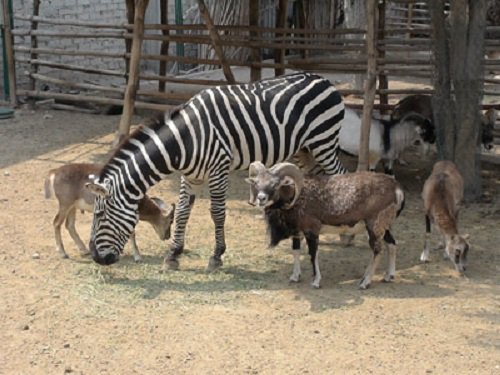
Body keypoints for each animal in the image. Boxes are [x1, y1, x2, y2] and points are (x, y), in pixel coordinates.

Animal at [86, 72, 346, 270]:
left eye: (100, 215)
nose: (96, 258)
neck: (185, 140)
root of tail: (323, 79)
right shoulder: (191, 176)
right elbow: (183, 212)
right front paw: (173, 255)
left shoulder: (218, 169)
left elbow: (217, 213)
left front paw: (217, 256)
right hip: (304, 150)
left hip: (324, 142)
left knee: (340, 175)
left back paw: (348, 236)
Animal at [246, 162, 406, 290]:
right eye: (256, 183)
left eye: (275, 185)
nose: (261, 198)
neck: (297, 198)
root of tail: (397, 189)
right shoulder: (297, 233)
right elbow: (296, 252)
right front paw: (295, 277)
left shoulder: (312, 231)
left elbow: (313, 254)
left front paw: (316, 282)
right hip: (384, 227)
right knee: (392, 244)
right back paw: (388, 276)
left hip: (374, 227)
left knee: (377, 250)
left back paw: (364, 282)